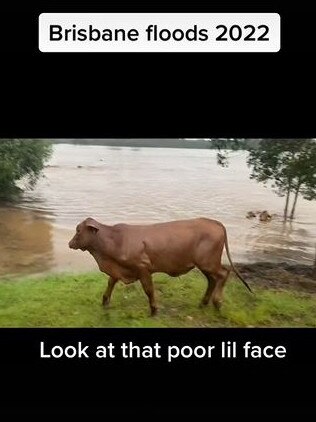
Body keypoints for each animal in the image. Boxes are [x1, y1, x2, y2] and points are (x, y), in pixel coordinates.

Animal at [69, 219, 252, 314]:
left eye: (78, 230)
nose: (70, 243)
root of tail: (214, 222)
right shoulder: (118, 270)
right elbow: (110, 283)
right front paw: (105, 302)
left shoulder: (143, 268)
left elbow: (149, 290)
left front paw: (154, 309)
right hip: (204, 265)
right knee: (212, 280)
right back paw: (204, 303)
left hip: (208, 262)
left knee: (224, 274)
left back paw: (217, 302)